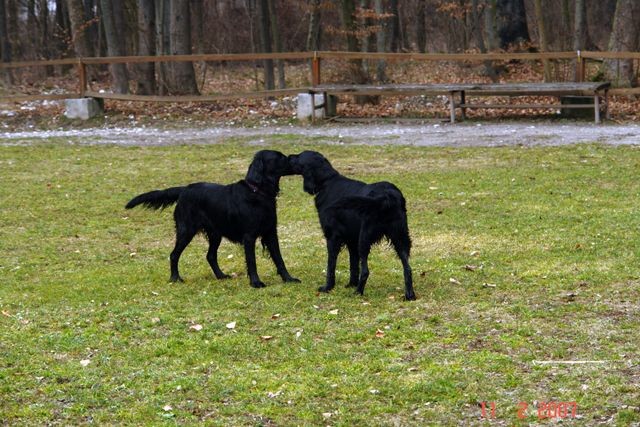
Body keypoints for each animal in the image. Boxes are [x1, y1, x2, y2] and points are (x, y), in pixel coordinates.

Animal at [125, 149, 300, 290]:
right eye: (280, 157)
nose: (294, 157)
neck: (258, 192)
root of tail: (184, 189)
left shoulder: (271, 232)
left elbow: (279, 259)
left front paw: (289, 279)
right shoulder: (249, 237)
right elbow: (252, 262)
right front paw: (256, 283)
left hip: (215, 234)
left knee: (210, 256)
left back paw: (221, 275)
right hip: (186, 230)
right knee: (174, 254)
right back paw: (175, 278)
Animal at [290, 150, 416, 300]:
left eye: (299, 156)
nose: (289, 156)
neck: (327, 181)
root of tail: (387, 196)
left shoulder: (333, 238)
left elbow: (331, 266)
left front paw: (328, 287)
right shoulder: (352, 240)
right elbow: (353, 265)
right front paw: (351, 283)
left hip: (365, 239)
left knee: (366, 270)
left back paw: (358, 292)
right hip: (400, 237)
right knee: (408, 268)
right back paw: (409, 295)